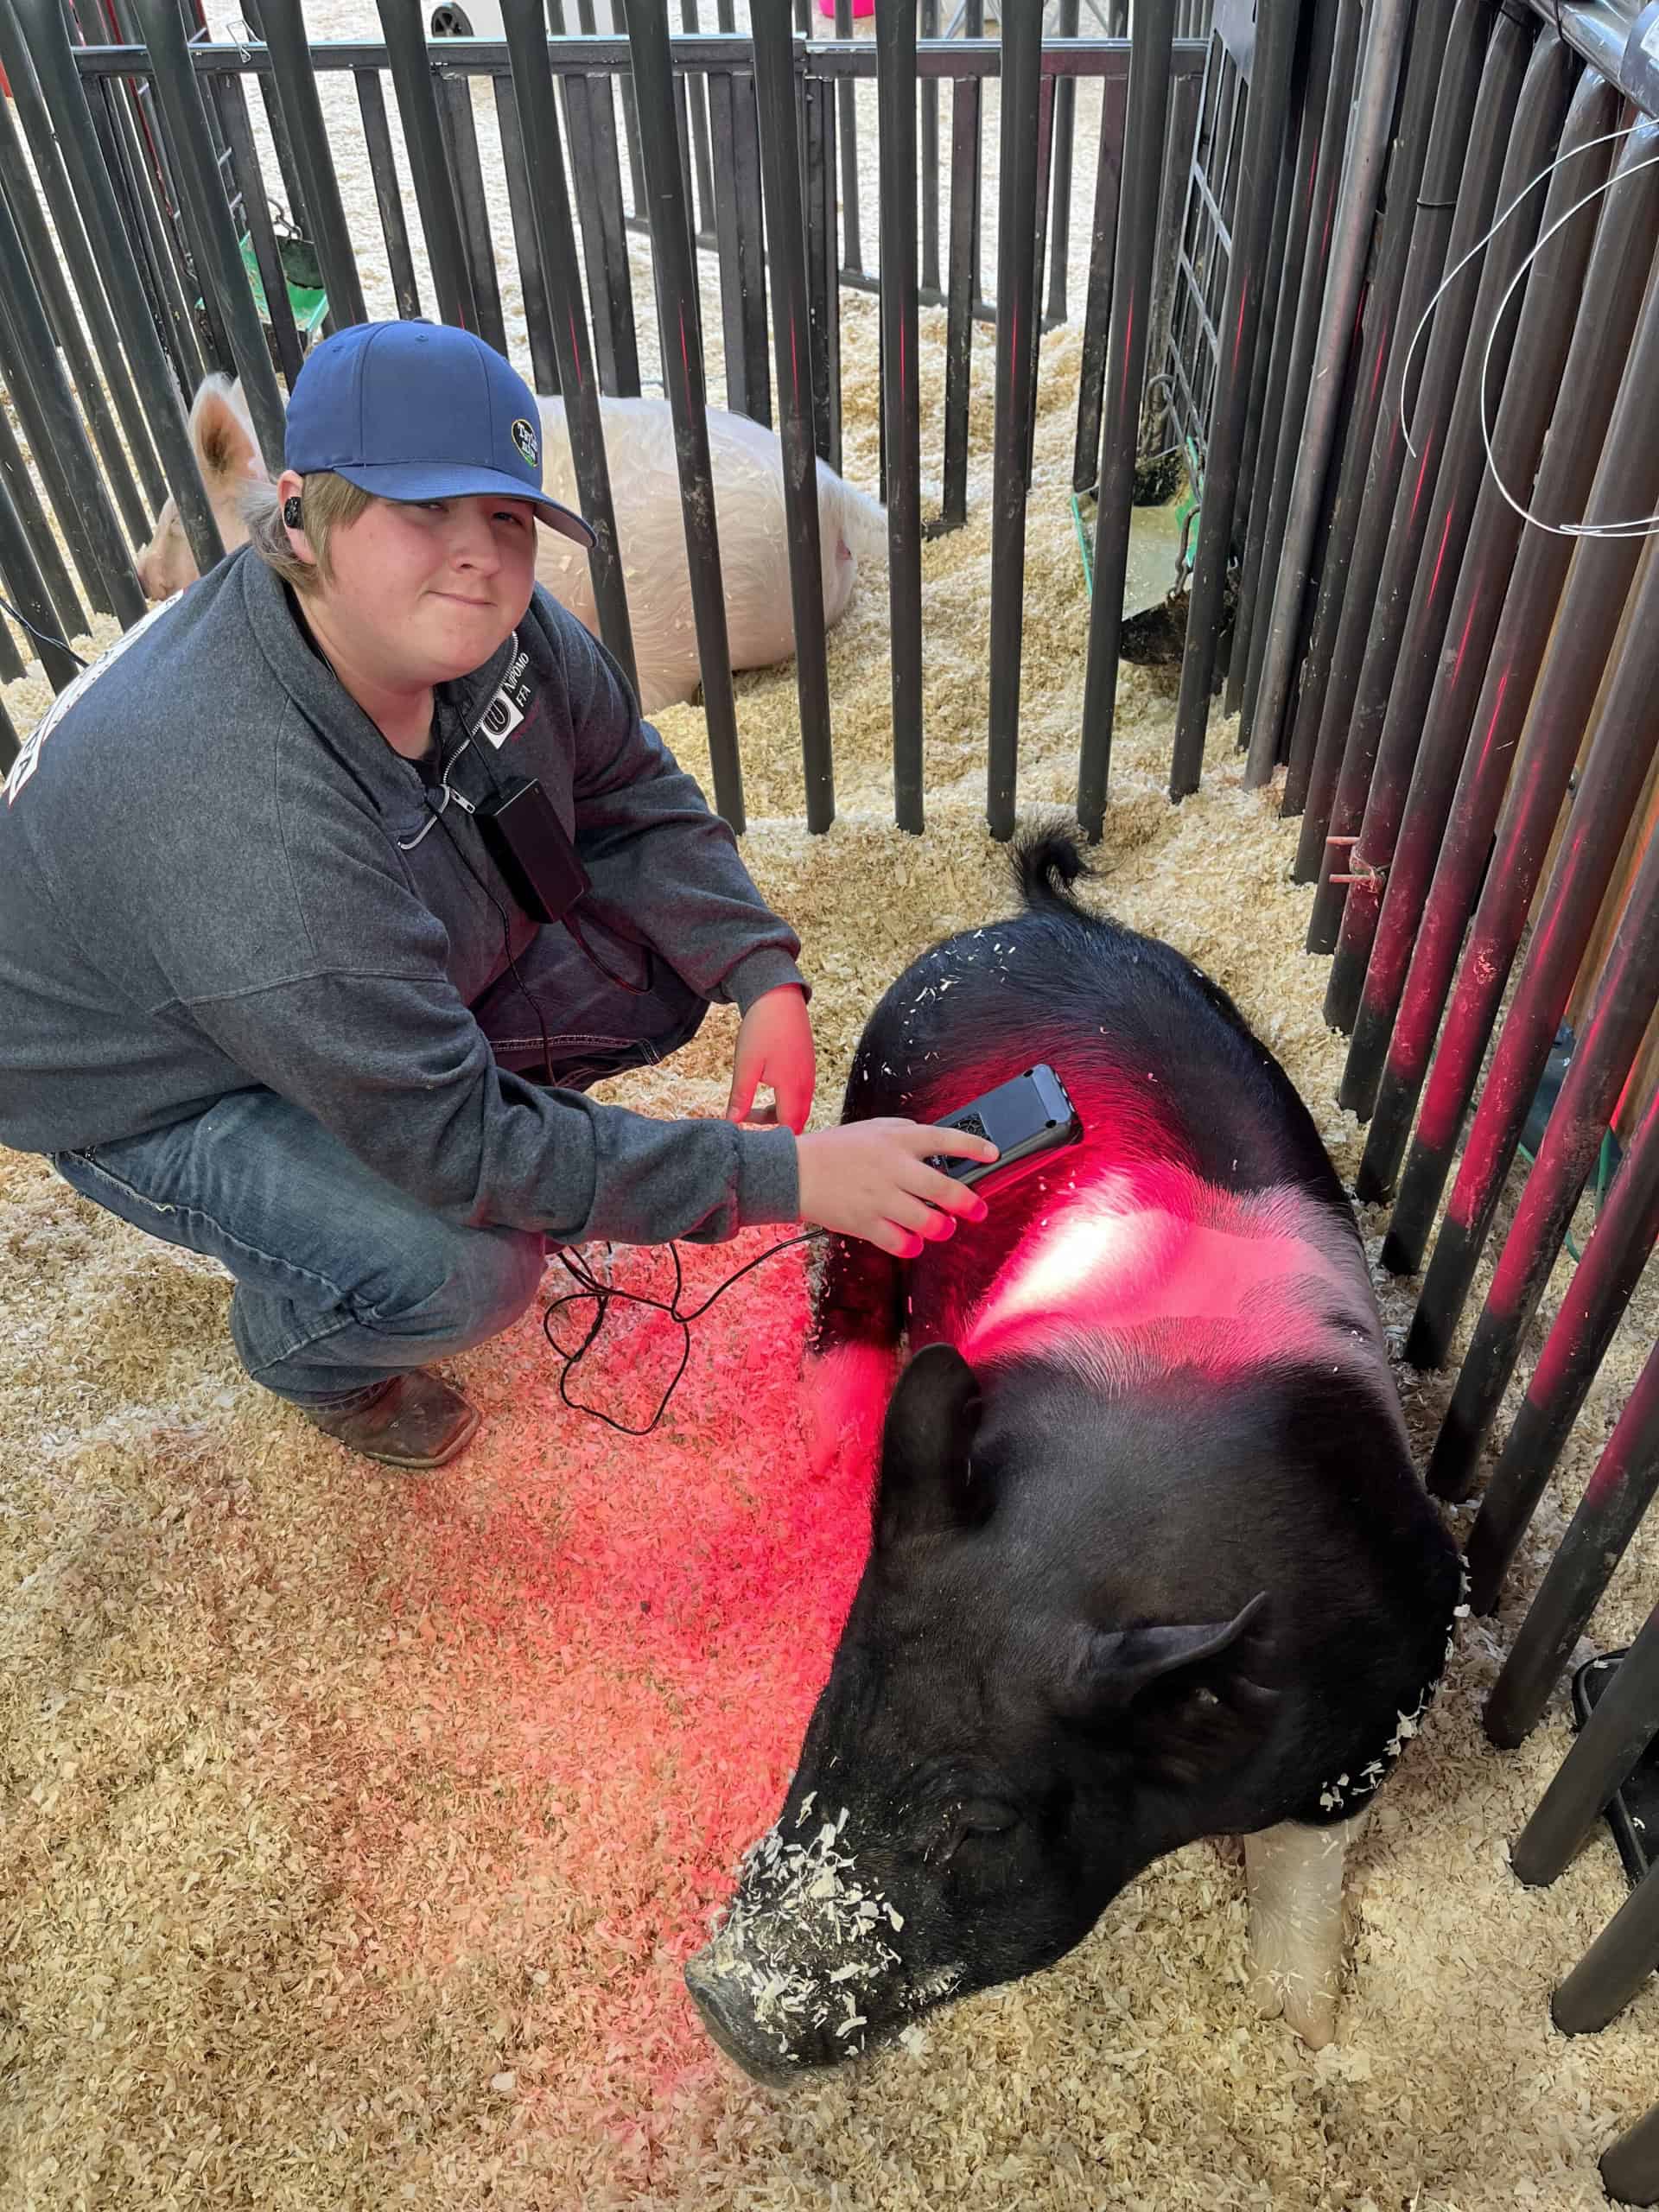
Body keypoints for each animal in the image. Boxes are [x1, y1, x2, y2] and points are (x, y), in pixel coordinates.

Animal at [690, 836, 1468, 2079]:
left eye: (983, 1820)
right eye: (833, 1705)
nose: (719, 1995)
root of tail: (1035, 918)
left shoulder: (1400, 1674)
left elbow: (1305, 1864)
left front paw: (1307, 2028)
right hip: (871, 1107)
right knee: (848, 1291)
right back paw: (824, 1450)